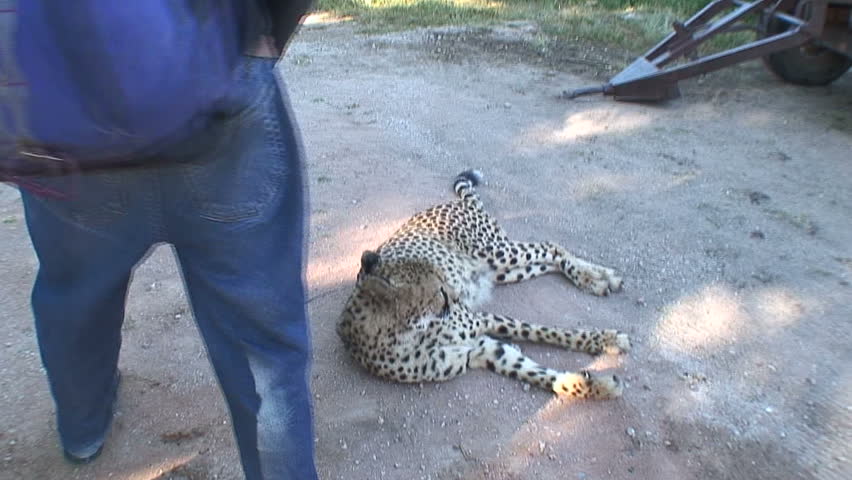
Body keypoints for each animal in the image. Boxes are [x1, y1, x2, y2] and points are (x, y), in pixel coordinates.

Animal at [336, 170, 630, 400]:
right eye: (438, 290)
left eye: (442, 283)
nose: (456, 297)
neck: (414, 333)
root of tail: (451, 204)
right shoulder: (479, 351)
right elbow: (538, 373)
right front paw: (594, 386)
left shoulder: (482, 320)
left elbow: (548, 332)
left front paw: (606, 340)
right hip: (502, 271)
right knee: (548, 261)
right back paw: (598, 278)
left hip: (497, 252)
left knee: (550, 247)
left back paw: (597, 278)